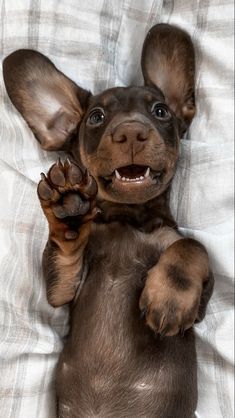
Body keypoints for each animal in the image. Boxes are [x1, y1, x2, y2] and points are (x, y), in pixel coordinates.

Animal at [2, 24, 214, 418]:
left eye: (161, 111)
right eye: (96, 117)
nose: (130, 131)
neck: (127, 218)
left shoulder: (199, 306)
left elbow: (191, 245)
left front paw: (168, 298)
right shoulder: (63, 289)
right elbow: (63, 253)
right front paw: (68, 208)